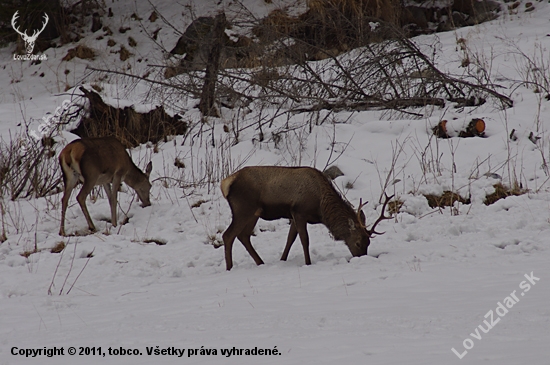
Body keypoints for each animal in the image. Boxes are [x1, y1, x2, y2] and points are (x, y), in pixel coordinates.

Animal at [220, 166, 392, 268]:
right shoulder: (300, 212)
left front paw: (282, 260)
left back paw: (260, 262)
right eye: (357, 243)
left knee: (243, 235)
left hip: (254, 213)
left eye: (368, 243)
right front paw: (308, 263)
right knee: (228, 235)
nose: (361, 258)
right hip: (243, 209)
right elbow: (304, 240)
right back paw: (230, 268)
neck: (321, 207)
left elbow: (290, 239)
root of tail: (225, 183)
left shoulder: (293, 215)